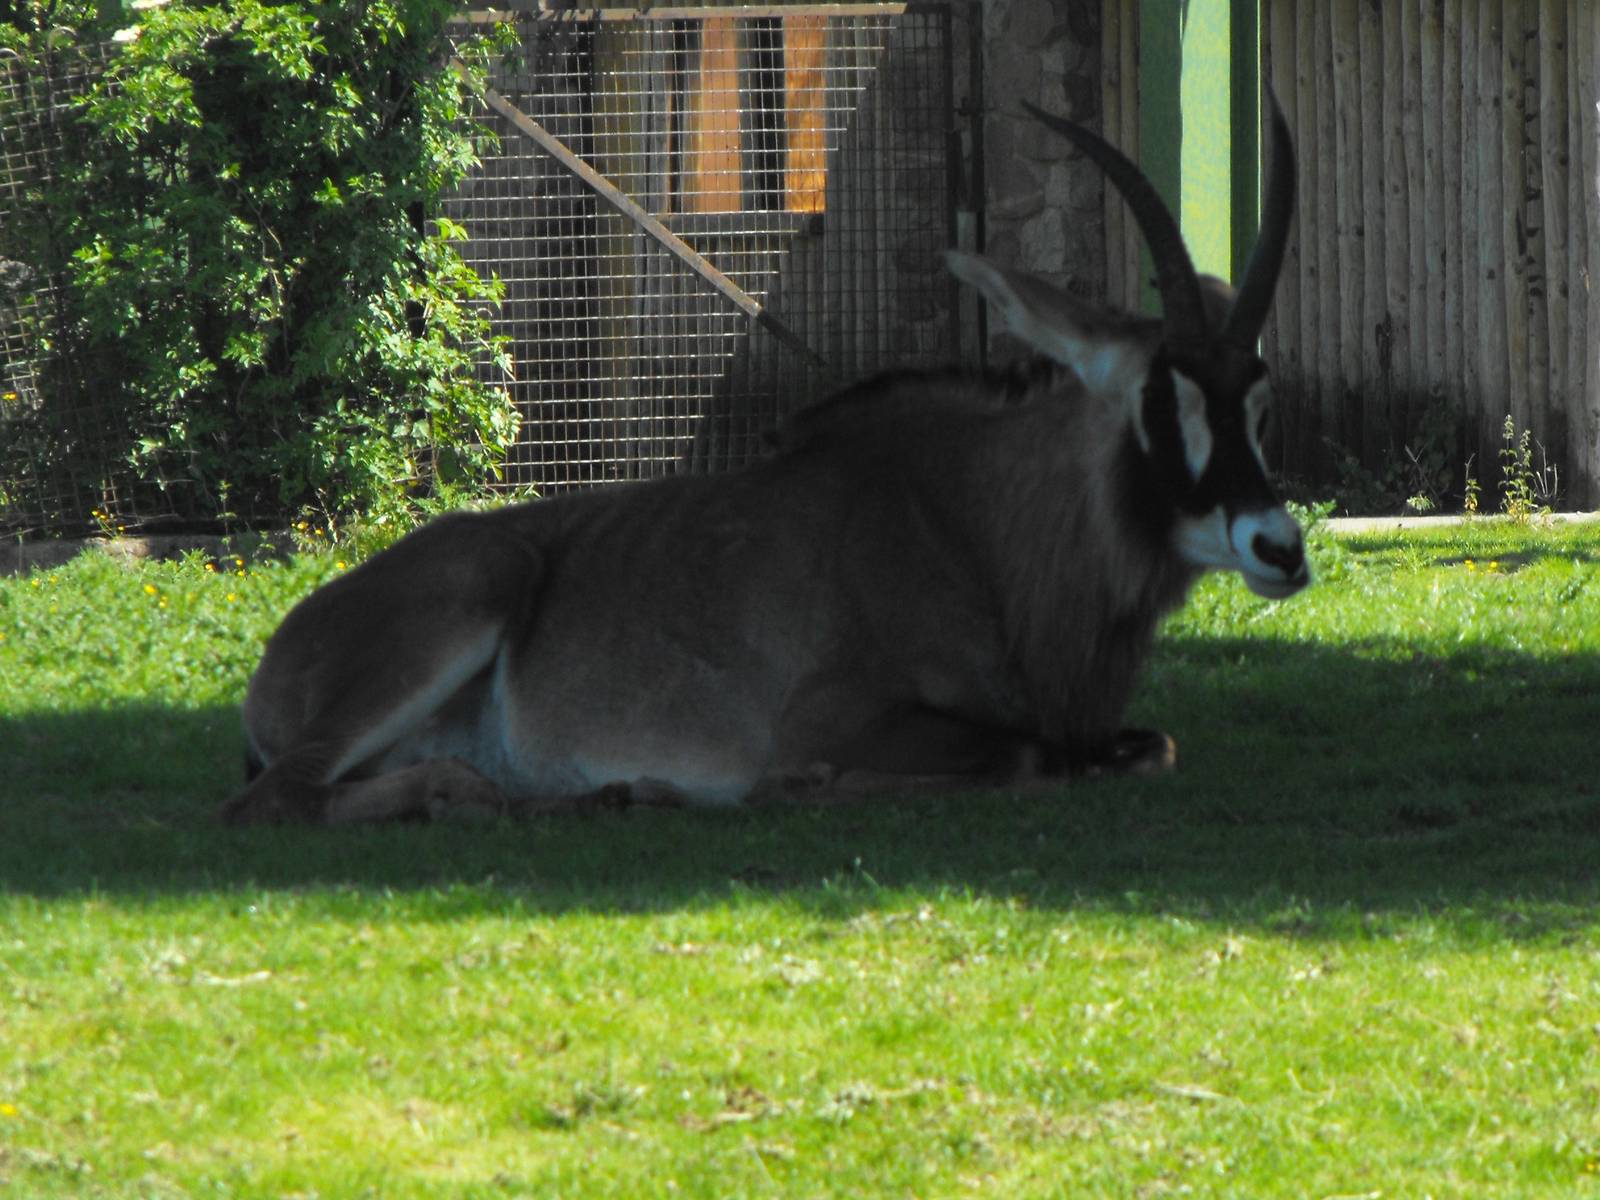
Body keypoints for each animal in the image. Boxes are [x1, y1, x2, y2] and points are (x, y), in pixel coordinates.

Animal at [222, 95, 1308, 826]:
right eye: (1159, 398)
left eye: (1259, 400)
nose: (1280, 548)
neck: (974, 525)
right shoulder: (834, 719)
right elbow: (1024, 759)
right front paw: (805, 787)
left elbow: (1149, 748)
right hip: (463, 600)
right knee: (275, 798)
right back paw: (476, 792)